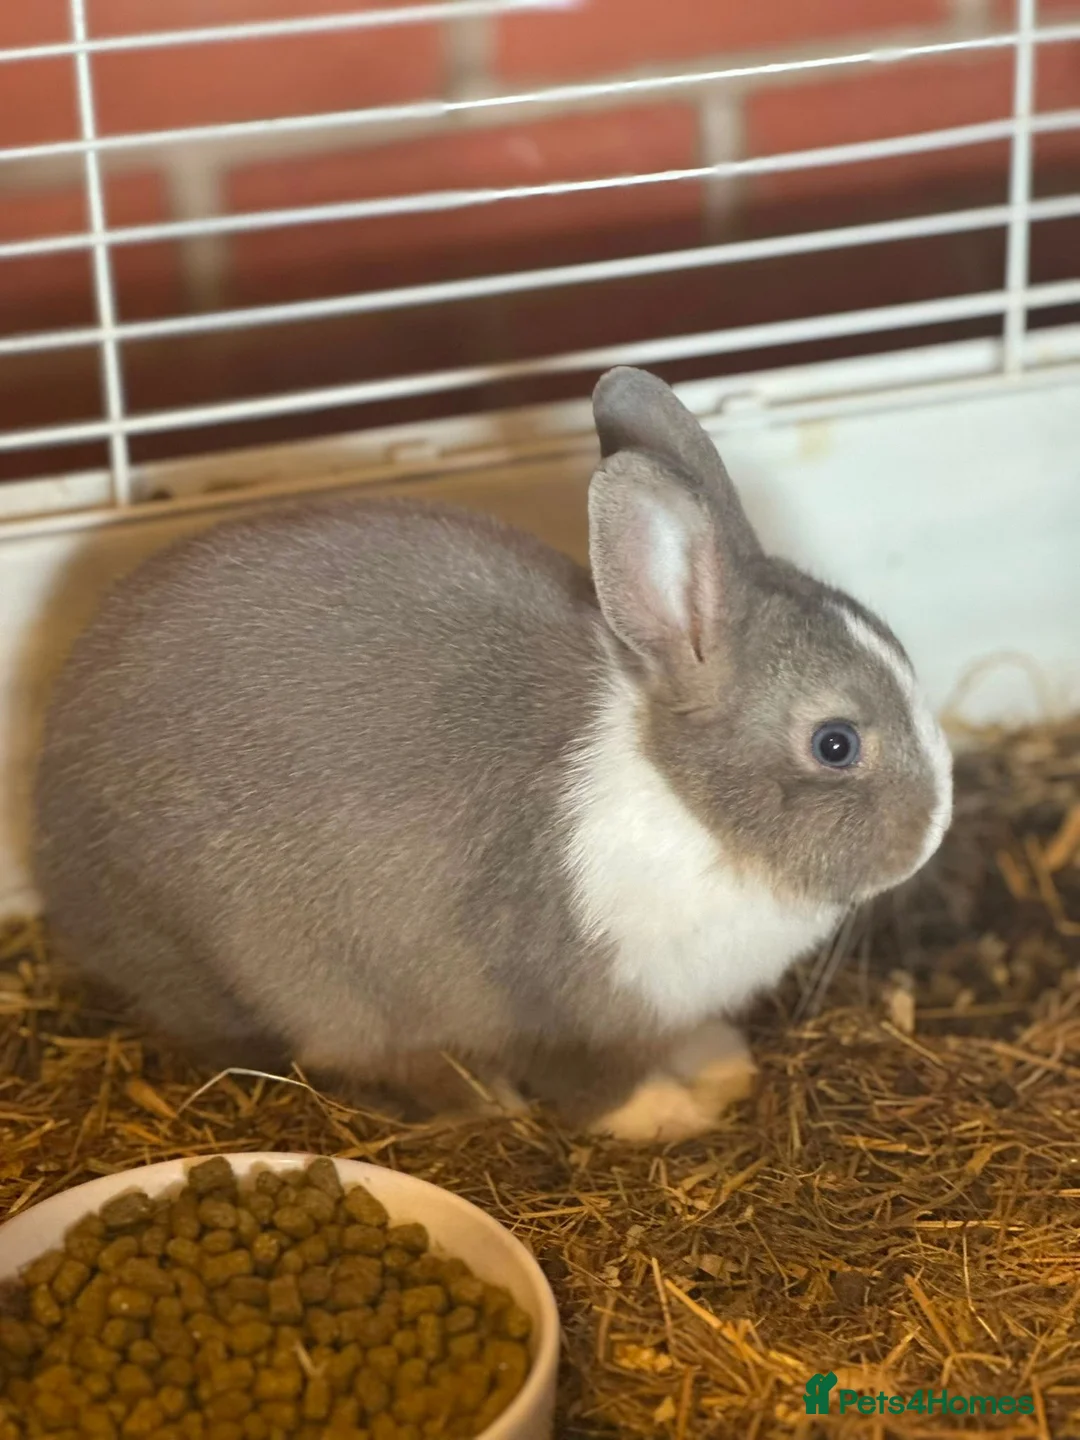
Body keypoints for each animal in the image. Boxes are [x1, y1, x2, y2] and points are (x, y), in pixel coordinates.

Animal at [34, 366, 952, 1143]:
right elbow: (593, 1081)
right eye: (836, 743)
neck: (686, 806)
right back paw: (481, 1098)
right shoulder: (546, 991)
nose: (938, 828)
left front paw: (717, 1064)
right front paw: (667, 1115)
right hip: (292, 980)